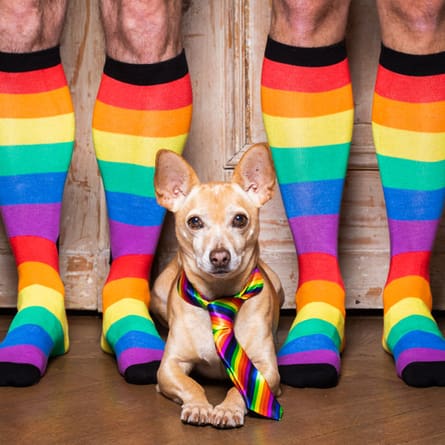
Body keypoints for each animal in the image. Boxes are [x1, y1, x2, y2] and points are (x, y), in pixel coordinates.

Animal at [151, 142, 282, 426]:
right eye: (195, 222)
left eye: (240, 220)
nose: (220, 256)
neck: (219, 297)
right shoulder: (169, 367)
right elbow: (191, 385)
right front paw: (199, 406)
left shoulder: (266, 367)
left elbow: (239, 388)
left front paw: (227, 409)